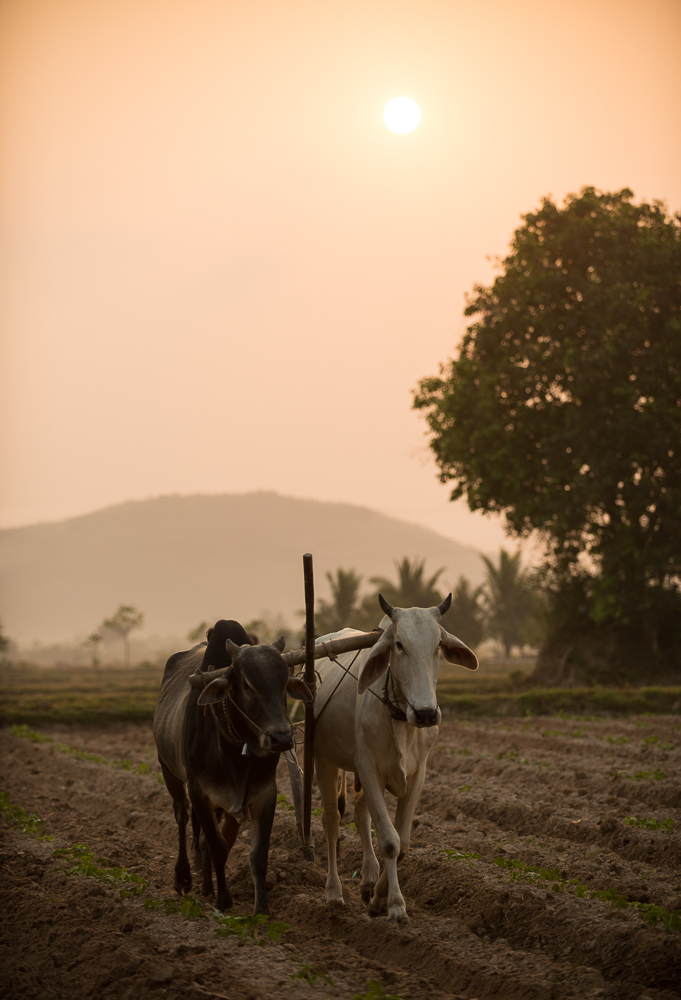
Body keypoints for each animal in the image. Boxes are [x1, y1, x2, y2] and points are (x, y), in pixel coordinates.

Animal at [153, 619, 312, 914]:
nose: (282, 738)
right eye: (247, 684)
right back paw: (184, 877)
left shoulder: (264, 795)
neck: (238, 753)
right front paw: (224, 900)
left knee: (202, 841)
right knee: (182, 819)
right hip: (170, 773)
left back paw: (205, 886)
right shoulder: (199, 793)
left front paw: (261, 910)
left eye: (284, 682)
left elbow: (256, 855)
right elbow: (217, 847)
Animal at [313, 594, 478, 925]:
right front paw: (396, 906)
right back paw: (334, 893)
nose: (426, 713)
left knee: (360, 814)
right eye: (399, 644)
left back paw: (366, 878)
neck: (399, 717)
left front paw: (377, 898)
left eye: (438, 645)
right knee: (332, 822)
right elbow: (390, 841)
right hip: (323, 759)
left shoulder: (417, 775)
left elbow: (402, 844)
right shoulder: (369, 769)